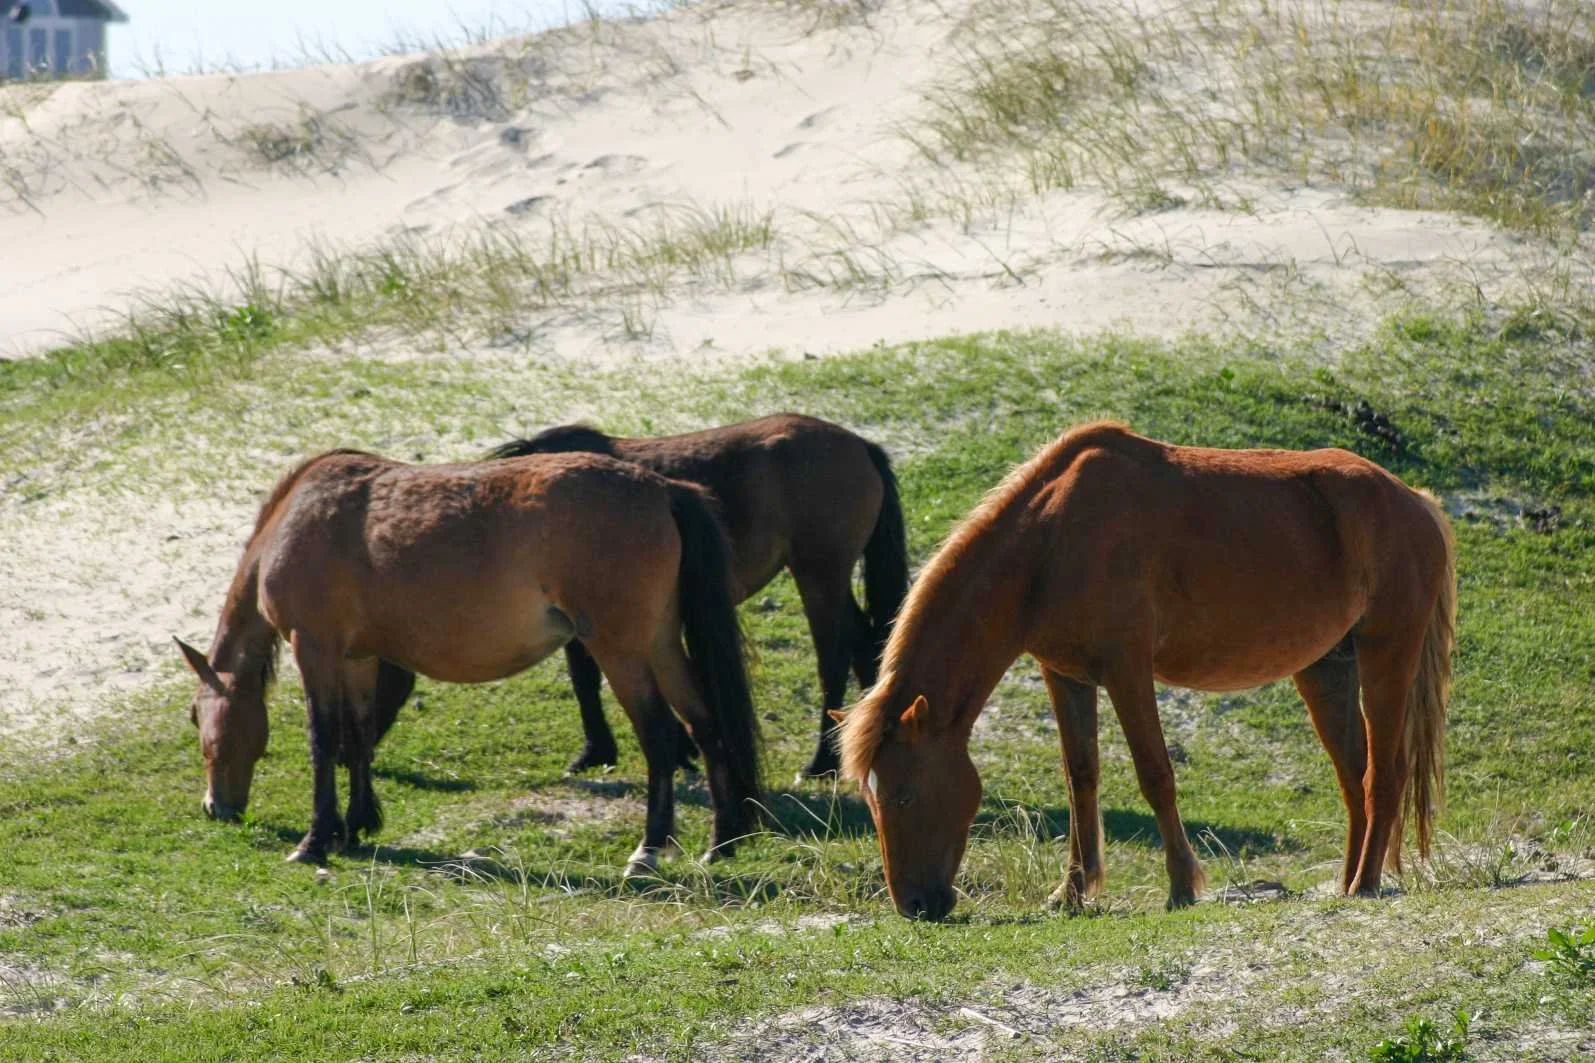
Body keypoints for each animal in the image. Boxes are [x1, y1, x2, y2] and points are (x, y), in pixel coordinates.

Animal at [176, 448, 762, 874]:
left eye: (195, 715)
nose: (215, 807)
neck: (295, 520)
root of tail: (662, 490)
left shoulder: (314, 647)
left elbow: (324, 741)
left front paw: (316, 840)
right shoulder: (358, 658)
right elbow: (358, 737)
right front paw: (357, 826)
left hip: (621, 651)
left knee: (660, 737)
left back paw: (649, 850)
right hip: (660, 643)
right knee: (706, 724)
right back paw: (723, 840)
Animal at [488, 413, 907, 779]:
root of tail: (860, 445)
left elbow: (585, 679)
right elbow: (588, 679)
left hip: (819, 577)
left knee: (833, 659)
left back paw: (822, 762)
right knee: (865, 641)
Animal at [837, 422, 1455, 920]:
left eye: (905, 796)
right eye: (871, 799)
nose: (914, 905)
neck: (1050, 540)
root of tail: (1414, 501)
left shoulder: (1127, 670)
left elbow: (1155, 774)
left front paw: (1182, 886)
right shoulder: (1066, 676)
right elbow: (1080, 778)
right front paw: (1071, 891)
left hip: (1386, 656)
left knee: (1384, 774)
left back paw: (1367, 883)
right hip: (1326, 671)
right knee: (1355, 777)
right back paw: (1347, 881)